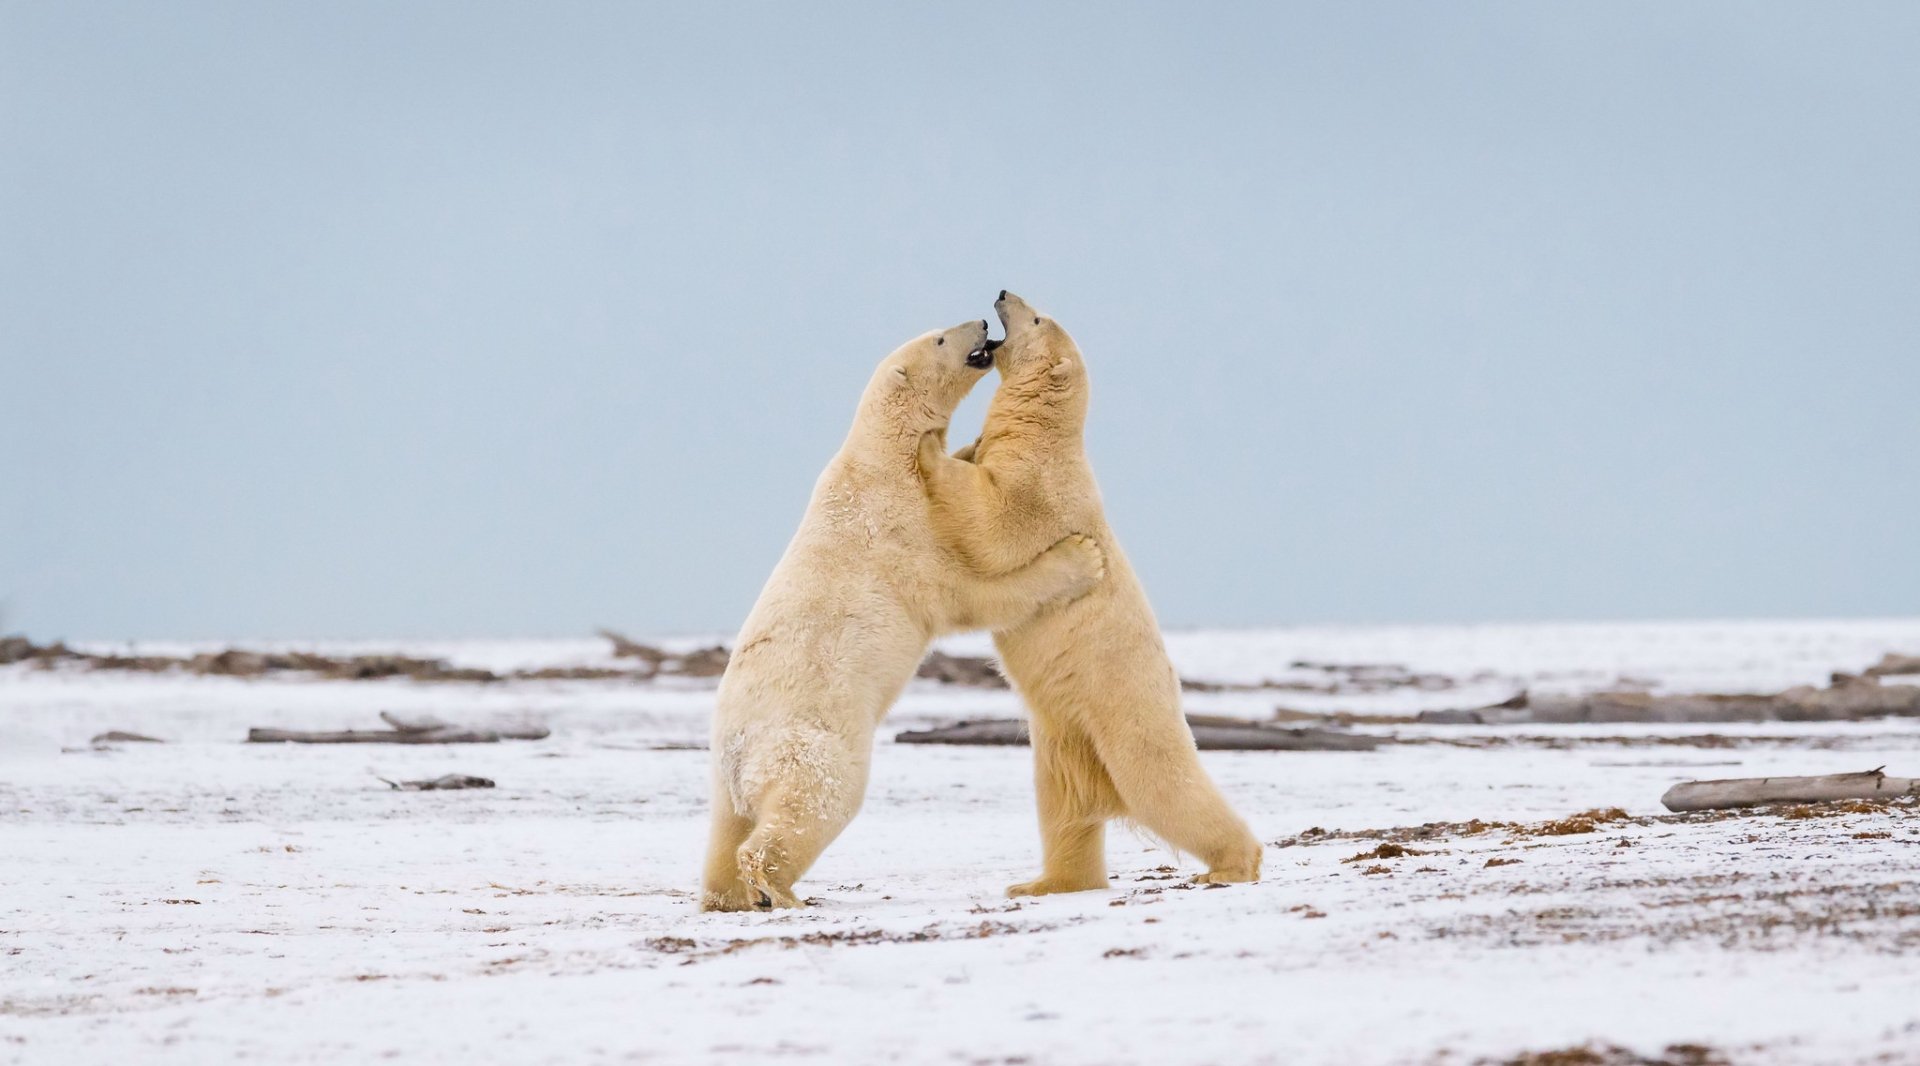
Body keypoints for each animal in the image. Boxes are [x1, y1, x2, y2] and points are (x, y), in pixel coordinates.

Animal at [698, 320, 1105, 914]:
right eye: (938, 339)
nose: (982, 323)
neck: (881, 457)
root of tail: (737, 752)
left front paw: (967, 447)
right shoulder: (902, 530)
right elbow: (970, 593)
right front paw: (1081, 558)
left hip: (726, 778)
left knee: (725, 832)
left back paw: (726, 895)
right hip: (813, 743)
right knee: (818, 801)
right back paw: (779, 888)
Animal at [913, 290, 1259, 891]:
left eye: (1034, 317)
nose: (1001, 292)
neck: (1045, 434)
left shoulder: (1042, 488)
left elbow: (993, 521)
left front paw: (931, 449)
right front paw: (963, 441)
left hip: (1124, 706)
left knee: (1162, 784)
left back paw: (1231, 866)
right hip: (1065, 738)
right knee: (1063, 805)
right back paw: (1044, 882)